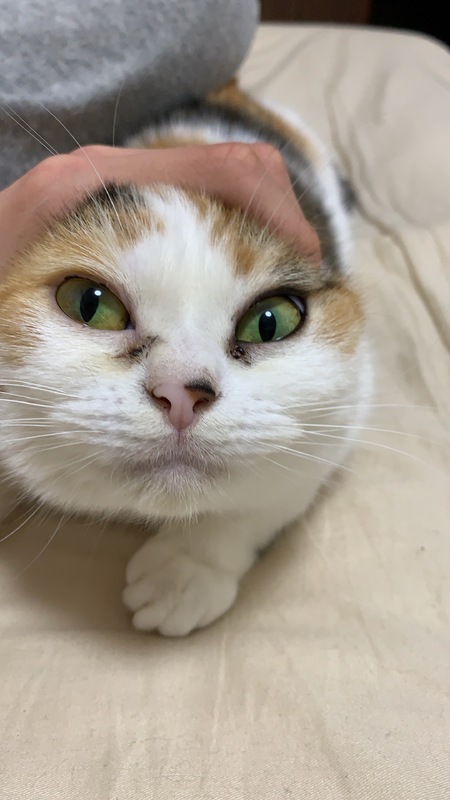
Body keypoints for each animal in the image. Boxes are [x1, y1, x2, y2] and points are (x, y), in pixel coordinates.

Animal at [0, 82, 372, 636]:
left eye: (270, 321)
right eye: (89, 303)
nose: (180, 392)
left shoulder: (348, 408)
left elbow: (271, 493)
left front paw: (186, 571)